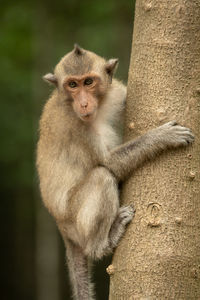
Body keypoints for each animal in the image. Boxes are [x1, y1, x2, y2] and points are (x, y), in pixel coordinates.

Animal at [36, 44, 194, 300]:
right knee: (102, 176)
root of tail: (61, 227)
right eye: (72, 85)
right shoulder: (74, 125)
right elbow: (109, 163)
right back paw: (103, 243)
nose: (83, 103)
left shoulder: (116, 93)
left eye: (88, 81)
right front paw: (161, 137)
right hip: (75, 222)